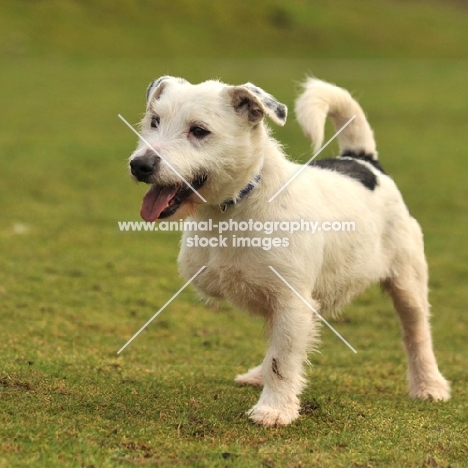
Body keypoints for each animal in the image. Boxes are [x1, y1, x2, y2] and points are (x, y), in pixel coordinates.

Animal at [127, 77, 450, 428]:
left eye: (199, 130)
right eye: (154, 121)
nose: (140, 165)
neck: (239, 203)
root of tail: (363, 161)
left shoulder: (292, 301)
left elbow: (282, 361)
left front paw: (274, 410)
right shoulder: (283, 301)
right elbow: (279, 353)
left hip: (408, 283)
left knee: (417, 334)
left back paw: (429, 385)